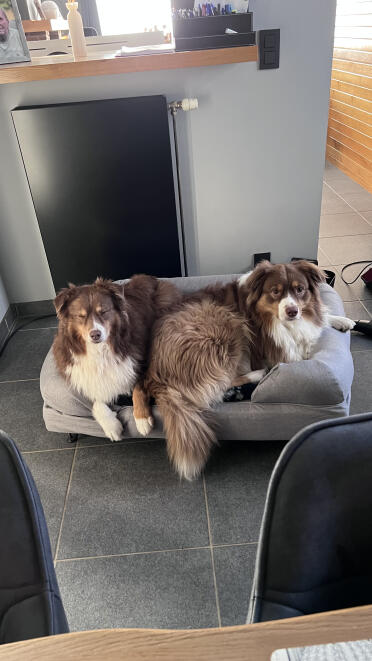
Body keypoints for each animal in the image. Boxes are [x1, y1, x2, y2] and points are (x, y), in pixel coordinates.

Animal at [52, 276, 180, 440]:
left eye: (104, 311)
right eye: (81, 316)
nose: (95, 334)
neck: (101, 350)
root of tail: (151, 277)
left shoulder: (140, 363)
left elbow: (137, 388)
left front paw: (142, 419)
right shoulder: (87, 378)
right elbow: (96, 401)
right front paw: (111, 426)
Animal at [134, 260, 354, 480]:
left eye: (300, 289)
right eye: (275, 291)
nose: (292, 311)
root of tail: (158, 375)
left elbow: (319, 318)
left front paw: (339, 320)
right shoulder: (276, 350)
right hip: (224, 322)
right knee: (217, 385)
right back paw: (256, 377)